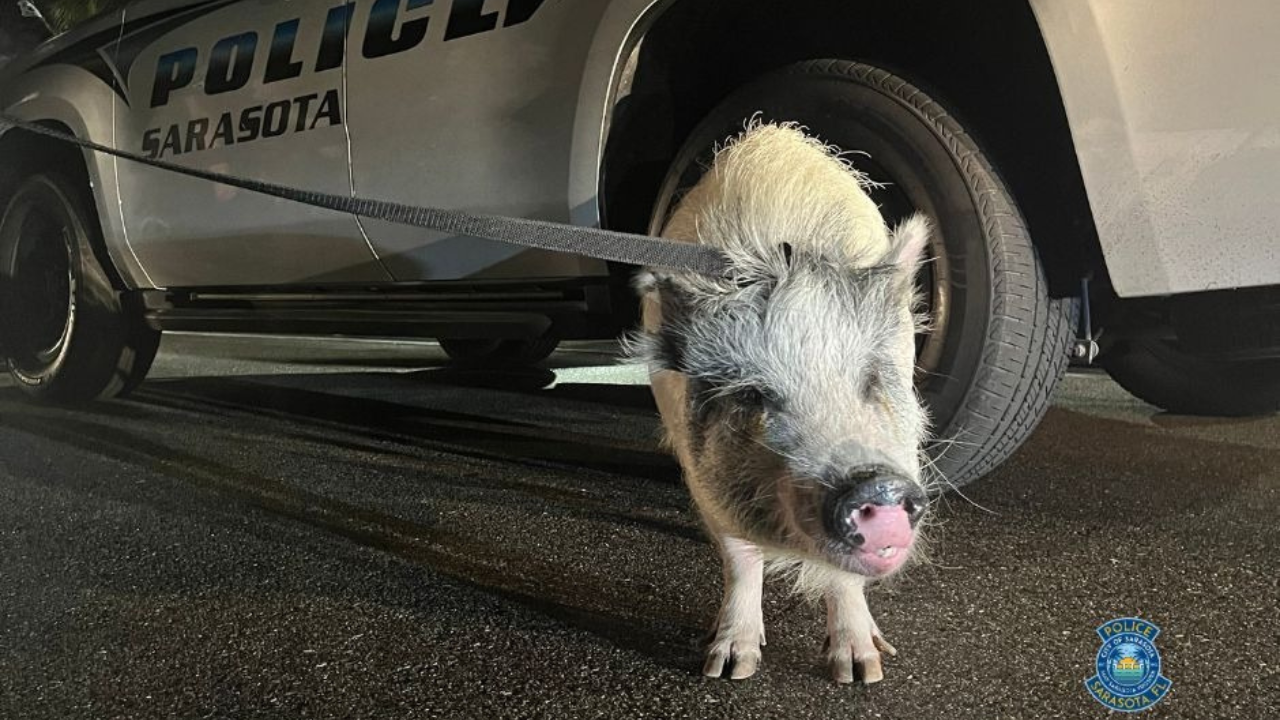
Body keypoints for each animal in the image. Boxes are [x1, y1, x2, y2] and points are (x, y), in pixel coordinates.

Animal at [632, 123, 933, 684]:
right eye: (753, 394)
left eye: (871, 380)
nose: (875, 483)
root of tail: (773, 136)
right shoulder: (703, 470)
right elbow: (738, 555)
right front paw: (728, 668)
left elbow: (843, 579)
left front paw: (862, 672)